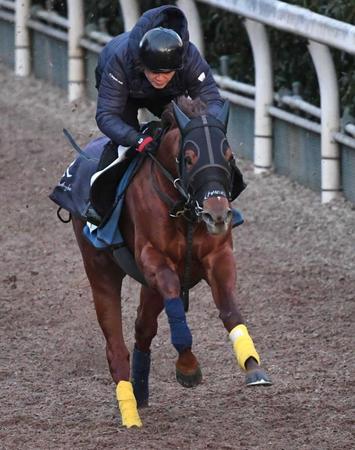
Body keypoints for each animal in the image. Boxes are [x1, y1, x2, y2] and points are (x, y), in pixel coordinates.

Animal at [71, 96, 272, 428]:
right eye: (189, 158)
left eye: (228, 155)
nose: (217, 214)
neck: (184, 209)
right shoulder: (154, 260)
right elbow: (175, 303)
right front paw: (188, 367)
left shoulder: (219, 255)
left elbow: (230, 309)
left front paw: (253, 365)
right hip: (100, 269)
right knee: (116, 347)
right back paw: (130, 412)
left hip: (146, 286)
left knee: (143, 328)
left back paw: (140, 390)